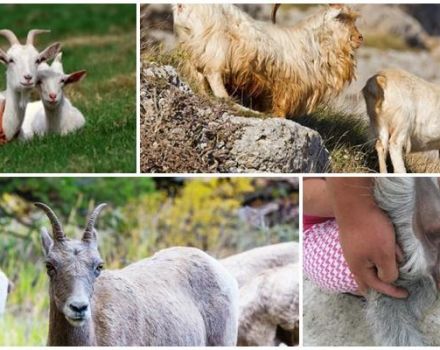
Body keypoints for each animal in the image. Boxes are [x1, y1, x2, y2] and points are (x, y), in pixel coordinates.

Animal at [174, 4, 362, 118]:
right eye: (341, 17)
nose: (359, 38)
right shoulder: (286, 87)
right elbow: (280, 108)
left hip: (195, 50)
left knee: (199, 79)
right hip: (216, 48)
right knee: (216, 83)